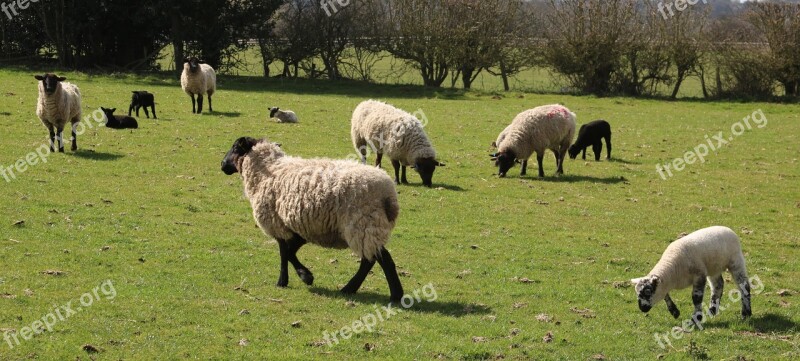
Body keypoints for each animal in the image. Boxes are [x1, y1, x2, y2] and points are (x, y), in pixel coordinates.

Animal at [220, 136, 404, 300]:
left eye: (235, 147)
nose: (222, 164)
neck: (267, 170)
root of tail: (388, 194)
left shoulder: (277, 224)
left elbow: (284, 253)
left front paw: (292, 279)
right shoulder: (299, 227)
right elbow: (290, 251)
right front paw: (303, 276)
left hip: (363, 225)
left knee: (376, 260)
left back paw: (375, 292)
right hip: (370, 227)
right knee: (374, 259)